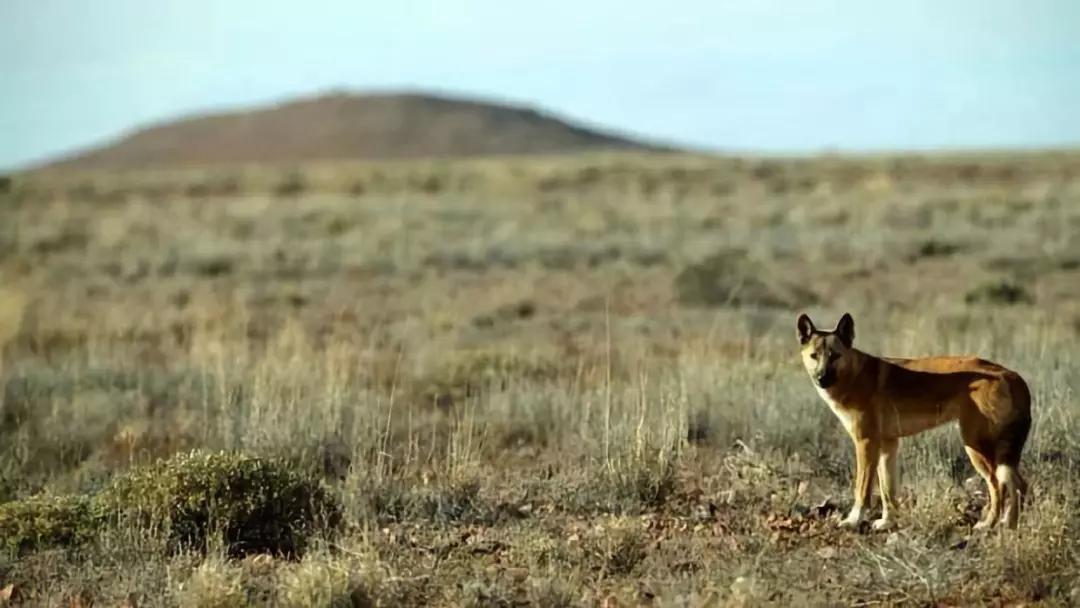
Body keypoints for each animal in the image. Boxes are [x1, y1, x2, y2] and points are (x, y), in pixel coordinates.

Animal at [799, 317, 1032, 531]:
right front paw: (887, 522)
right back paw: (1010, 525)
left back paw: (988, 525)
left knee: (999, 487)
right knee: (1018, 485)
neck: (854, 376)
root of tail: (1013, 375)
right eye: (814, 356)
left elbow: (862, 491)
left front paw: (853, 521)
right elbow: (888, 491)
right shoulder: (887, 445)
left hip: (976, 448)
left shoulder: (865, 443)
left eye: (835, 356)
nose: (821, 378)